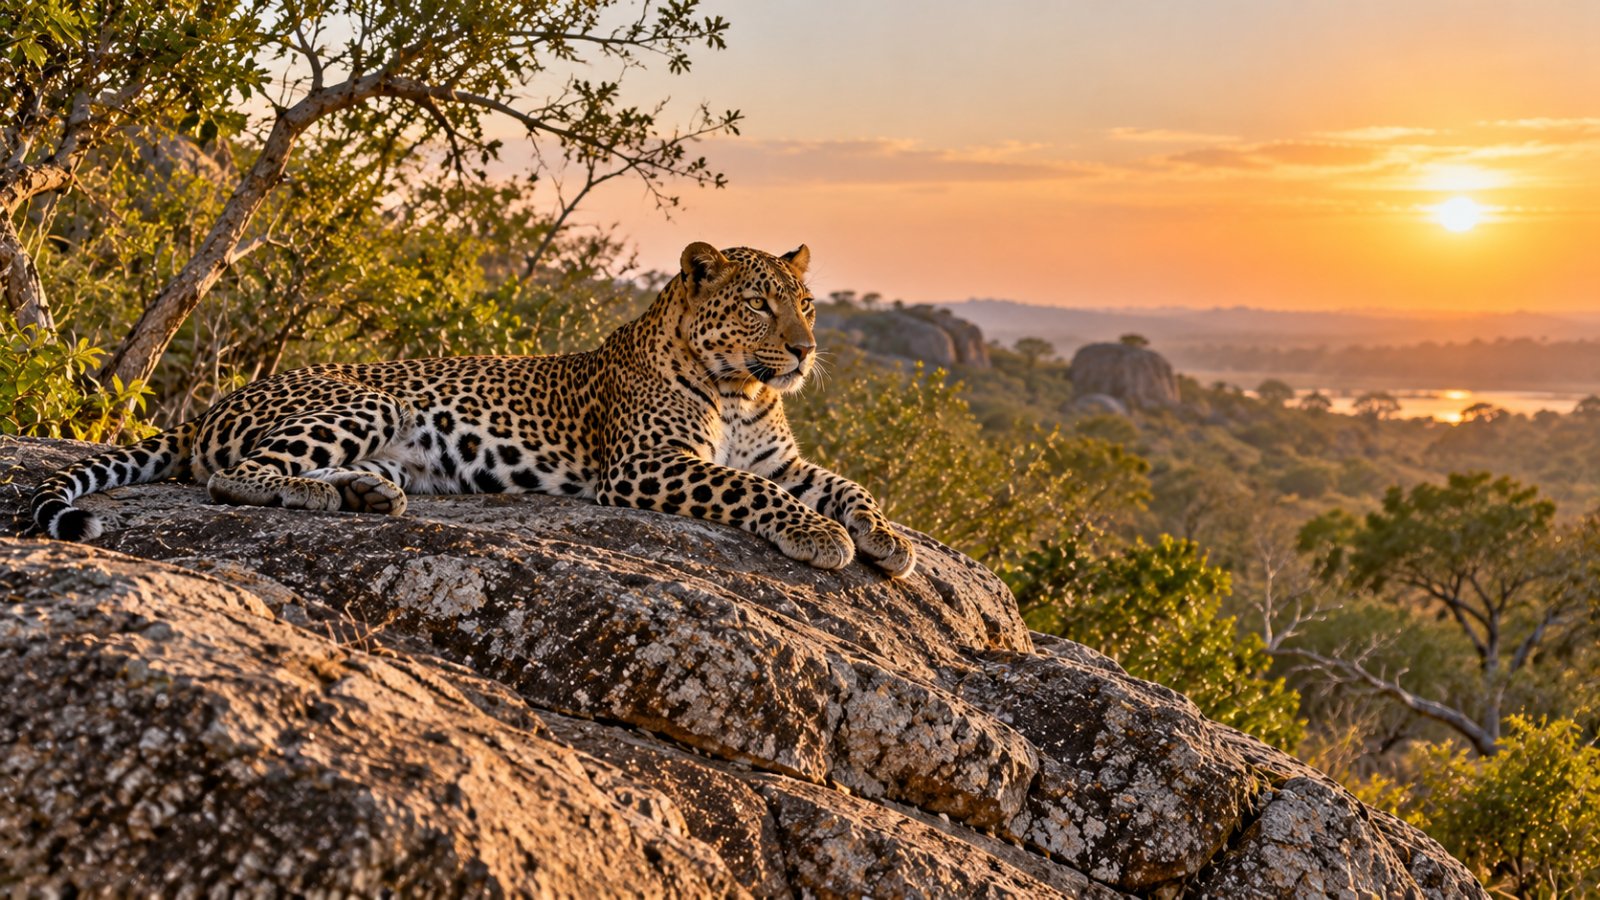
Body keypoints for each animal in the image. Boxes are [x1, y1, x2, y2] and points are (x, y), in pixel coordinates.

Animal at [29, 242, 916, 577]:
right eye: (761, 306)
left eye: (807, 304)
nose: (804, 350)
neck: (743, 388)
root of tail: (216, 403)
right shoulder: (647, 465)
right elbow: (751, 490)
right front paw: (823, 538)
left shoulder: (782, 458)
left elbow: (846, 485)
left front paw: (888, 539)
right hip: (367, 399)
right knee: (237, 475)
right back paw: (323, 496)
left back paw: (368, 493)